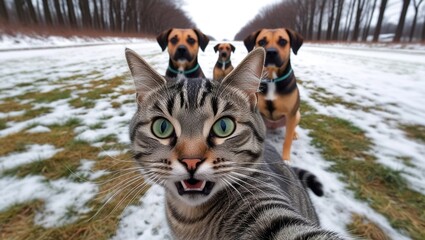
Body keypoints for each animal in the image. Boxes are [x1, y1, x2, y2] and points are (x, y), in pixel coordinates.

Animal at [243, 28, 304, 163]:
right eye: (261, 41)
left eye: (283, 41)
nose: (271, 52)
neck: (272, 79)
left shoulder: (291, 113)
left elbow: (287, 140)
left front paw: (285, 159)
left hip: (297, 114)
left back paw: (295, 134)